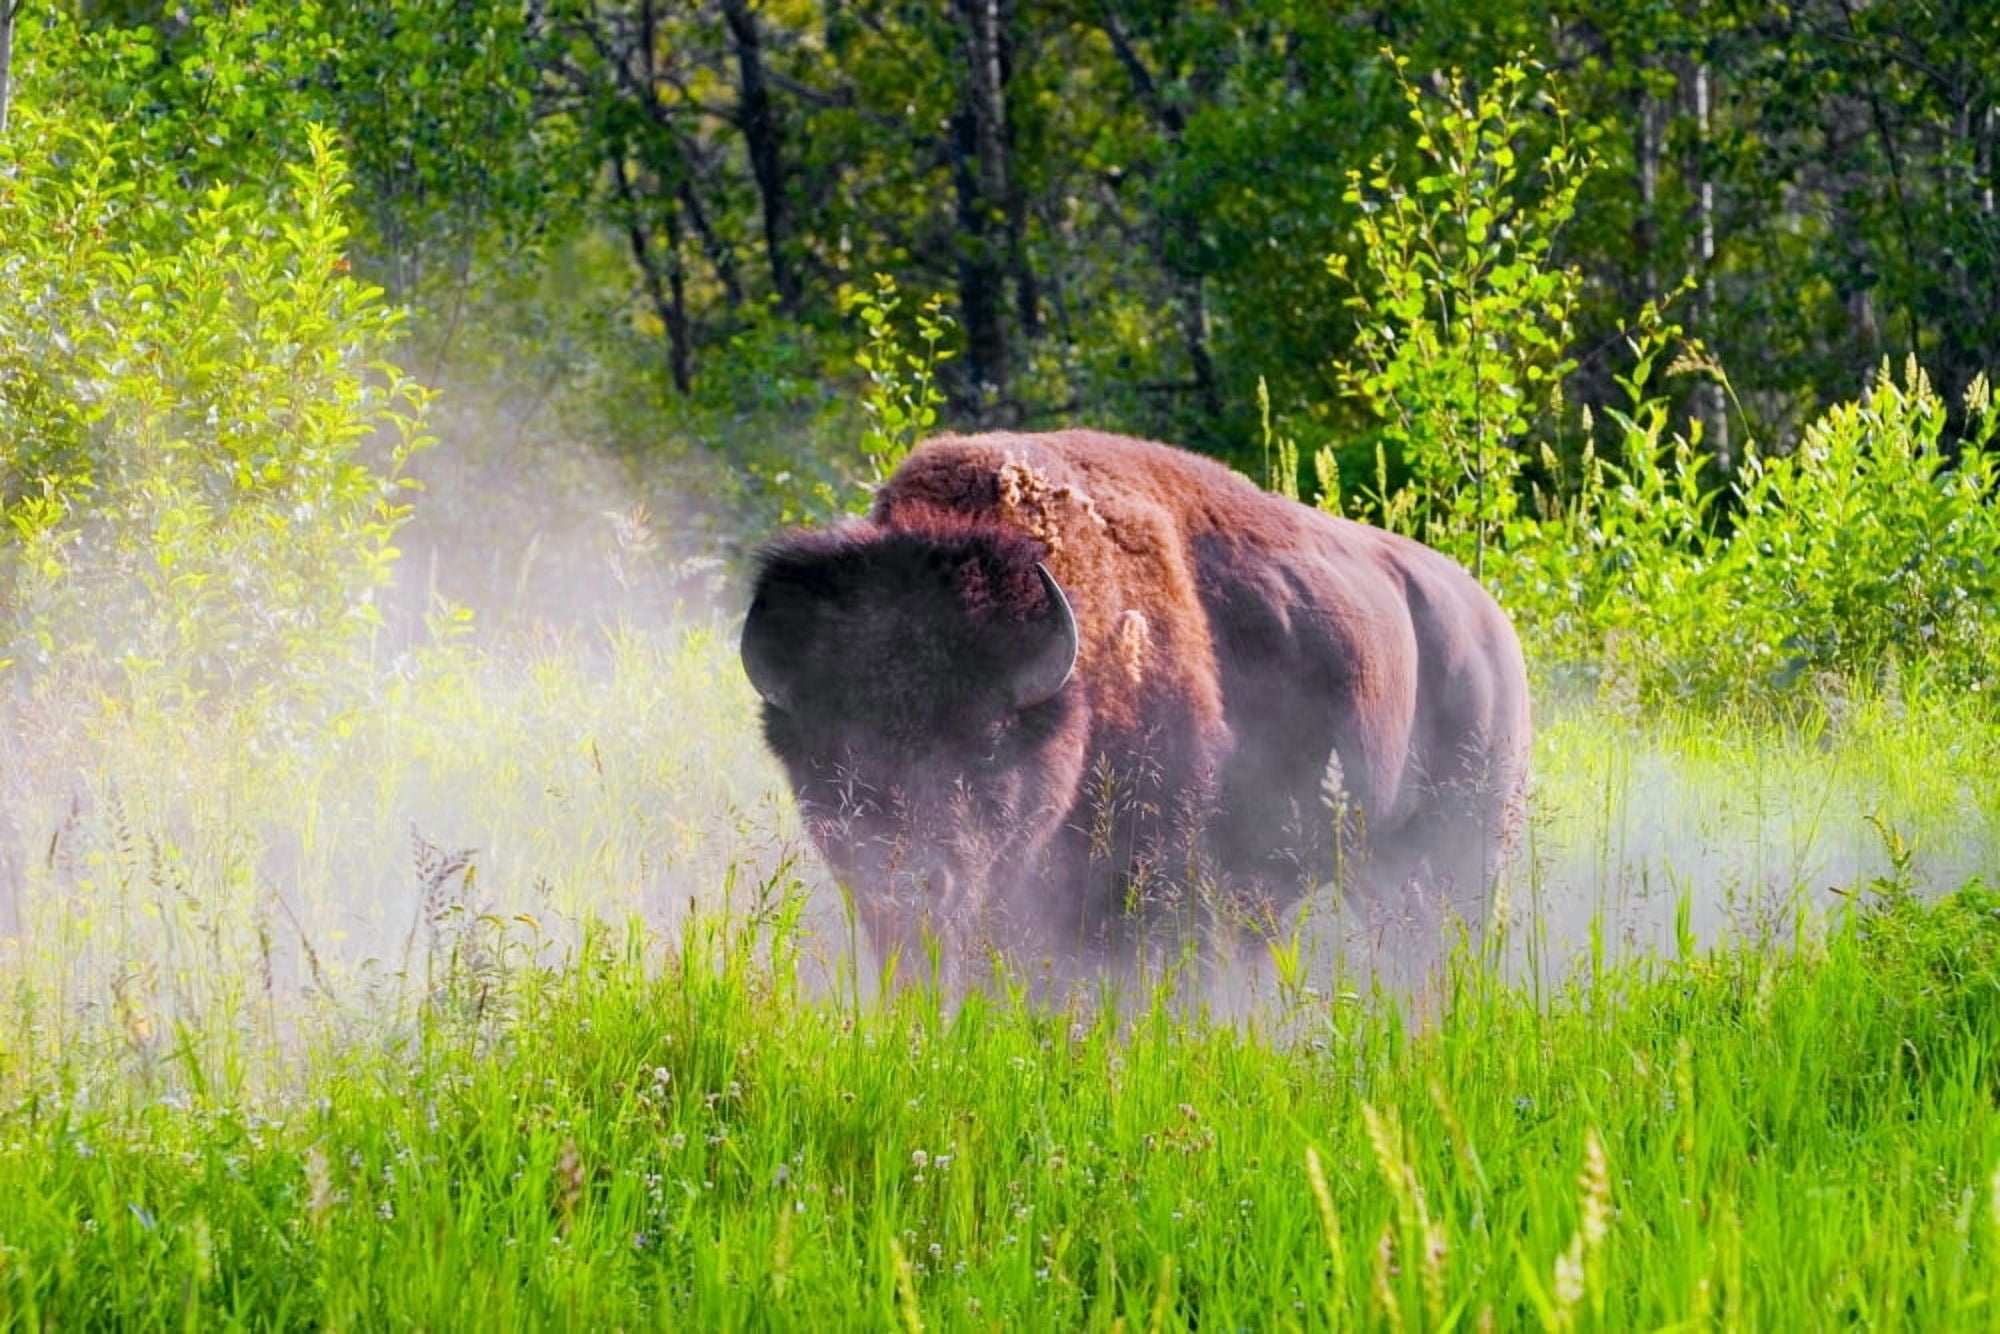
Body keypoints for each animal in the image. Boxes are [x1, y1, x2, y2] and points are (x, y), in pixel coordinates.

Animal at [741, 430, 1529, 995]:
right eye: (828, 751)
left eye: (989, 738)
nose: (906, 882)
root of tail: (1490, 622)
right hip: (1374, 866)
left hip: (1467, 850)